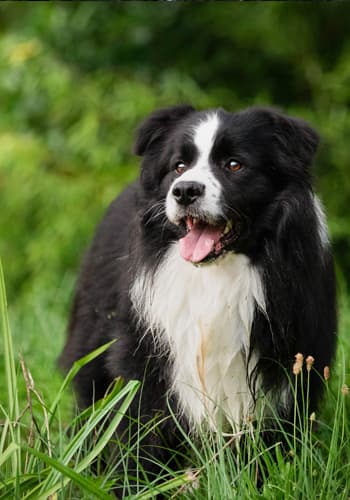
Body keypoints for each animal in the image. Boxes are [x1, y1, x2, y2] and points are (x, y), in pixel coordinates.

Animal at [60, 104, 336, 488]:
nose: (185, 191)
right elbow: (139, 430)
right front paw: (133, 487)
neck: (216, 273)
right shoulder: (146, 350)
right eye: (178, 166)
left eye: (234, 164)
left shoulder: (292, 354)